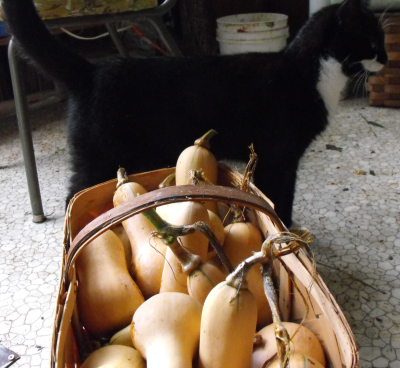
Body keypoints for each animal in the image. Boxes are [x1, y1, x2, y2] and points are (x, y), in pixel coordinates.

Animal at [1, 0, 386, 226]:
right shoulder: (279, 158)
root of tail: (92, 70)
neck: (313, 71)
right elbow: (279, 195)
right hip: (99, 155)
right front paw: (286, 228)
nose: (386, 58)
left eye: (383, 41)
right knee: (74, 197)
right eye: (372, 42)